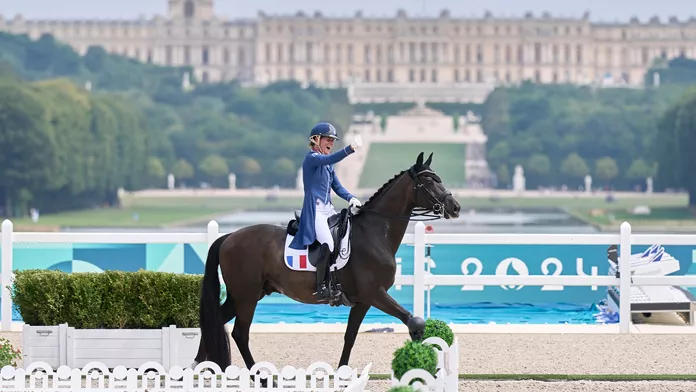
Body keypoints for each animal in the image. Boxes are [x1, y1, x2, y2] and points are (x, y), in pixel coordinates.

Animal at [193, 151, 460, 374]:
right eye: (428, 182)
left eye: (437, 179)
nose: (455, 207)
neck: (374, 233)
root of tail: (228, 237)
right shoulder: (375, 293)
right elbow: (414, 322)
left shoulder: (363, 300)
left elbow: (350, 336)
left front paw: (342, 372)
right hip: (246, 296)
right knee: (240, 333)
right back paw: (261, 376)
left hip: (245, 294)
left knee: (215, 321)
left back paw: (197, 366)